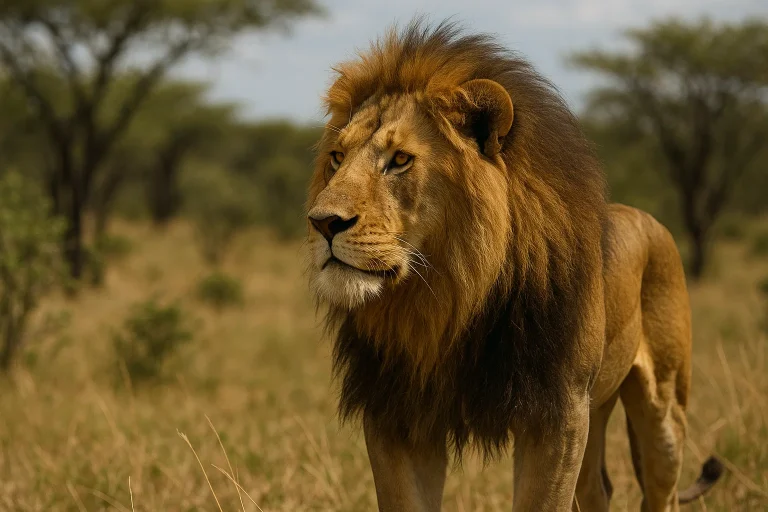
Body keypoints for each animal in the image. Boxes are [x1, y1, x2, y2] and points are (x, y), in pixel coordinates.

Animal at [305, 20, 723, 511]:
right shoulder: (396, 416)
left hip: (662, 408)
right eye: (336, 157)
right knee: (596, 489)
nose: (322, 222)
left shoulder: (559, 414)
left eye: (400, 160)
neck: (445, 299)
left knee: (662, 486)